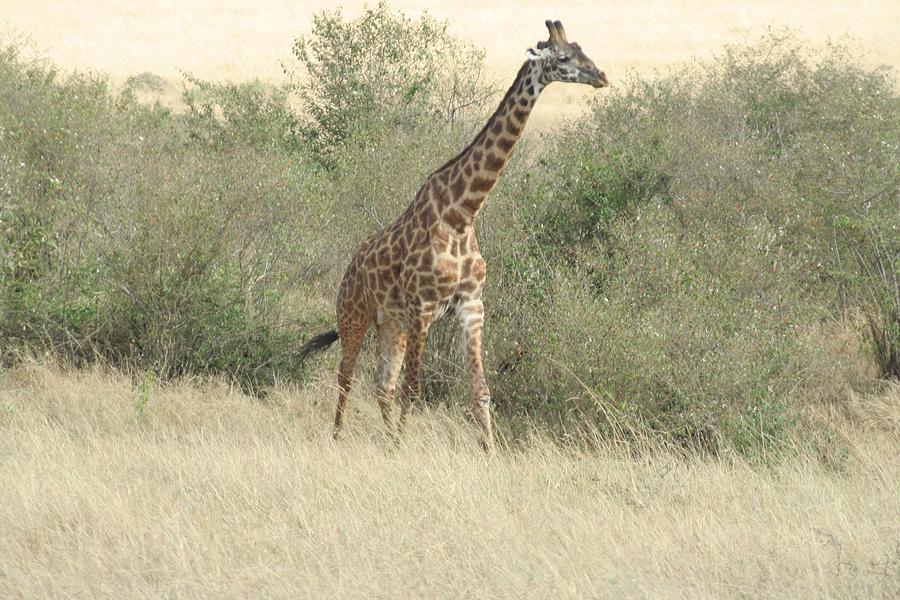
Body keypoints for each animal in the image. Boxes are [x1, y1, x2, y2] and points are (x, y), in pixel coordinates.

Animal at [298, 19, 608, 450]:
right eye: (563, 59)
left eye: (582, 49)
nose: (602, 77)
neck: (461, 215)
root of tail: (349, 267)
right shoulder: (423, 308)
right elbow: (414, 388)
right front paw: (403, 451)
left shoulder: (471, 306)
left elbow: (480, 390)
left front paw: (490, 453)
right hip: (354, 315)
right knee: (346, 377)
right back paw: (339, 438)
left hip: (391, 323)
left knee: (382, 383)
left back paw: (386, 440)